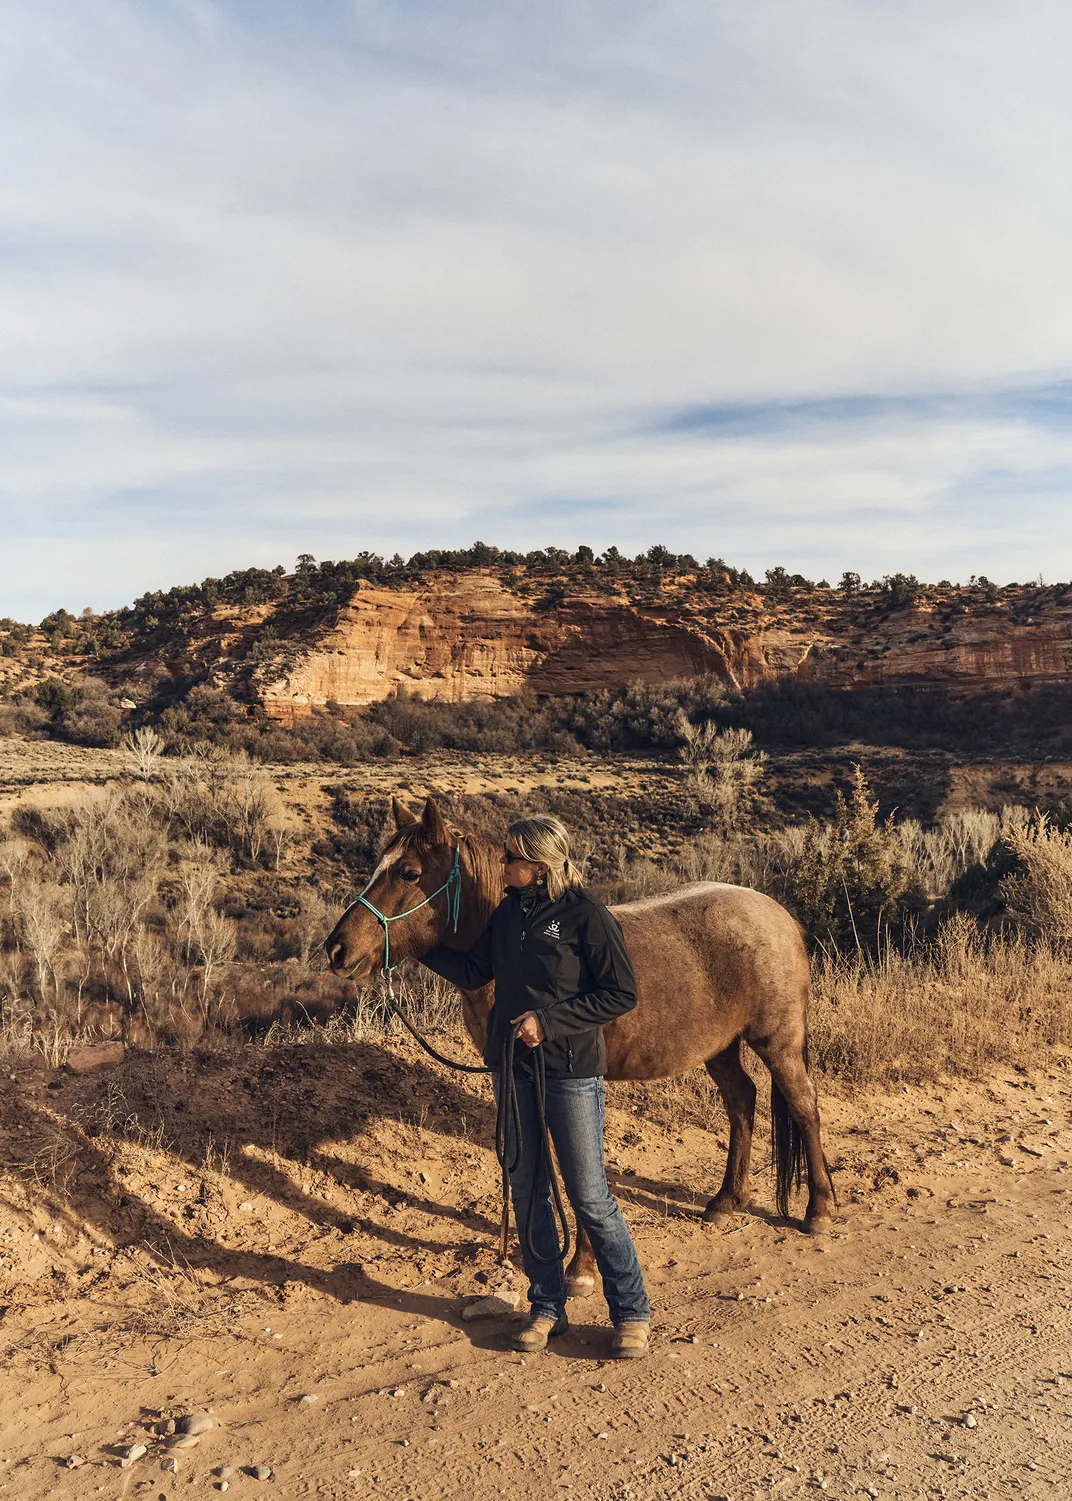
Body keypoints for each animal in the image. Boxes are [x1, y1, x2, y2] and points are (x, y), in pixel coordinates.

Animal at [324, 796, 836, 1299]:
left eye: (409, 873)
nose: (336, 949)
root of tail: (779, 915)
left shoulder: (575, 1086)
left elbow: (578, 1172)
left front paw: (582, 1269)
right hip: (721, 1048)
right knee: (742, 1102)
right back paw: (726, 1201)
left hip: (779, 1044)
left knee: (804, 1105)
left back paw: (819, 1210)